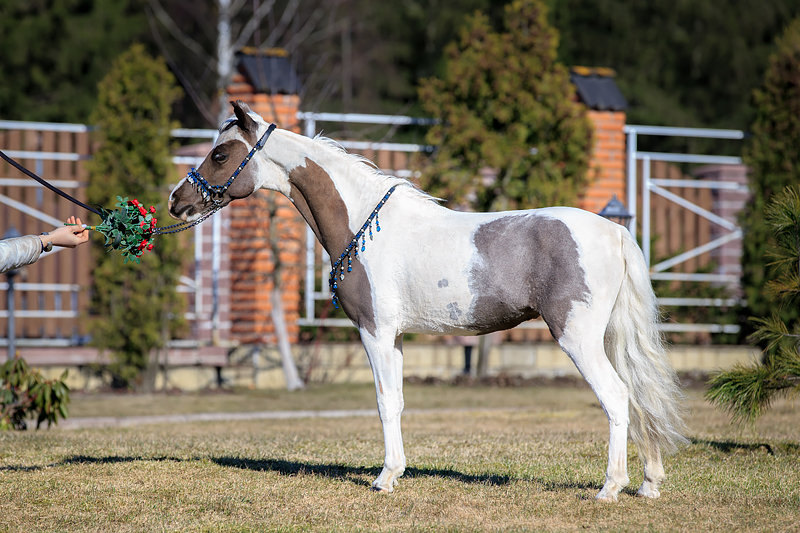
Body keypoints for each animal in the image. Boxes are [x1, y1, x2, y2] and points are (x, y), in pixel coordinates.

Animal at [169, 102, 688, 500]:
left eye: (220, 154)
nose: (177, 201)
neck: (365, 224)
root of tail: (613, 230)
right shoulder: (395, 337)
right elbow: (397, 402)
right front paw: (395, 472)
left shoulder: (374, 333)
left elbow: (383, 401)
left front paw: (382, 480)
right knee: (636, 394)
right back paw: (648, 484)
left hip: (578, 338)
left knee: (616, 396)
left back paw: (609, 488)